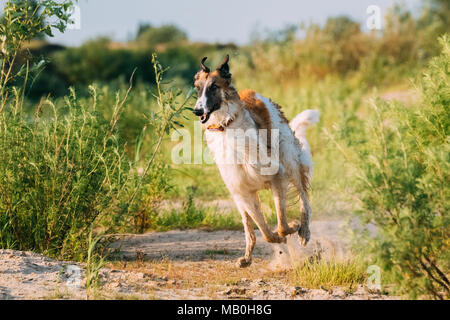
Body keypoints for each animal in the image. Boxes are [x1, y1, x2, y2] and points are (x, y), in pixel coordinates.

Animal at [193, 55, 320, 268]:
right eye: (197, 88)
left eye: (214, 87)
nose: (197, 110)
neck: (226, 126)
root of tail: (258, 95)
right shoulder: (242, 190)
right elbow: (264, 231)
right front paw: (278, 240)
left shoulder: (277, 175)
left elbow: (282, 224)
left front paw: (294, 226)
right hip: (239, 197)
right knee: (249, 228)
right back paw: (247, 257)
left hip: (289, 161)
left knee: (304, 199)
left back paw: (304, 232)